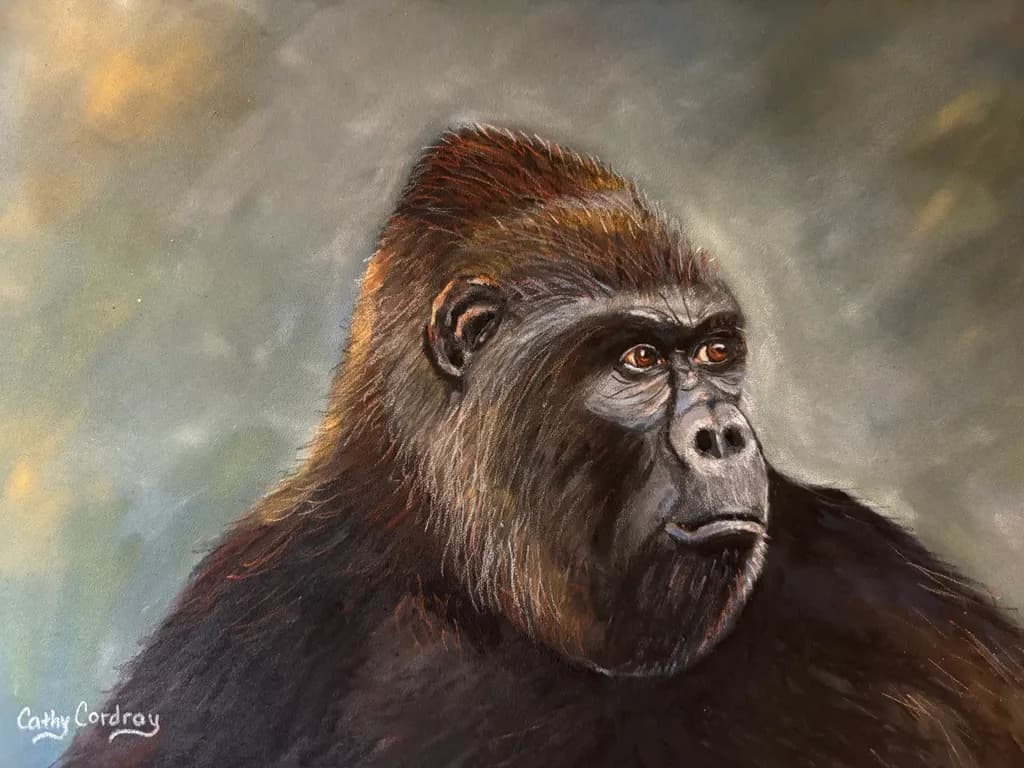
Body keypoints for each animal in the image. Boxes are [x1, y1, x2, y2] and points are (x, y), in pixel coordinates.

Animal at [59, 125, 1024, 768]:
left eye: (718, 353)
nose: (725, 432)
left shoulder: (869, 564)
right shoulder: (241, 621)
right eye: (640, 360)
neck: (469, 576)